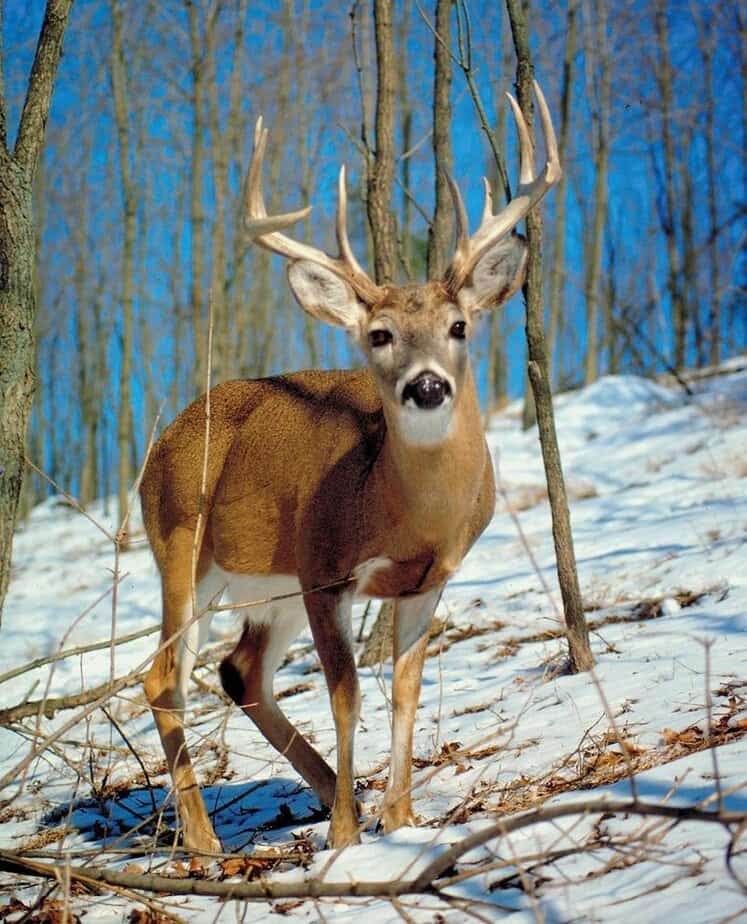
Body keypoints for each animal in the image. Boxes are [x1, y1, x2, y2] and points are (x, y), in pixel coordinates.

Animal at [139, 81, 561, 854]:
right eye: (380, 335)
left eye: (459, 326)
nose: (427, 386)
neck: (403, 514)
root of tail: (163, 441)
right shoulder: (325, 570)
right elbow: (346, 691)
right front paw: (344, 835)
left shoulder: (430, 577)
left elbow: (404, 687)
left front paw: (398, 817)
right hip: (182, 545)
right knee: (165, 675)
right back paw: (206, 839)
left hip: (268, 583)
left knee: (240, 672)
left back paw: (334, 790)